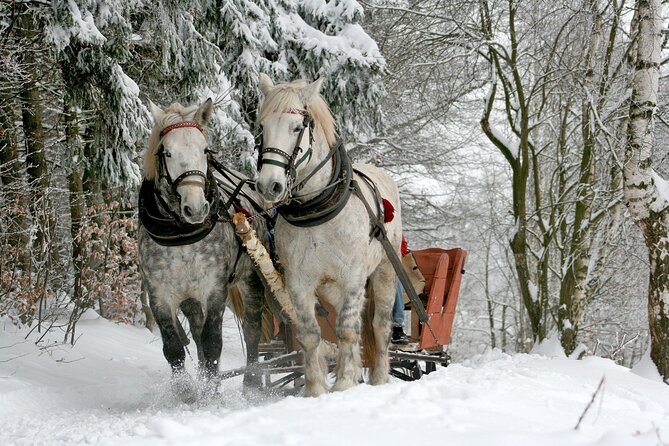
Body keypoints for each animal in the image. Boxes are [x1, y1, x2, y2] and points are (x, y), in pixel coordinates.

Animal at [256, 74, 402, 398]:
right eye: (262, 127)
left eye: (297, 127)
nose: (269, 185)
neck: (317, 207)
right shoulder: (298, 282)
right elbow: (310, 334)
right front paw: (315, 388)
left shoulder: (353, 277)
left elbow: (347, 330)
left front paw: (345, 382)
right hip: (330, 288)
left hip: (385, 271)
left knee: (379, 325)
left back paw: (379, 377)